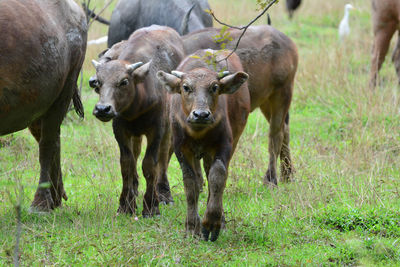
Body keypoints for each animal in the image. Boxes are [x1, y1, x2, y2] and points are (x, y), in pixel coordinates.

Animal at [0, 0, 87, 214]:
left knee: (47, 144)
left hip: (65, 88)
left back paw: (41, 202)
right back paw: (55, 196)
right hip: (37, 102)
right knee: (51, 138)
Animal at [89, 25, 184, 218]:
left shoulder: (157, 130)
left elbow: (150, 164)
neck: (137, 107)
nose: (103, 109)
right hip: (136, 134)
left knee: (164, 155)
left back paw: (164, 193)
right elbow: (127, 164)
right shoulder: (121, 130)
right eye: (99, 83)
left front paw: (151, 206)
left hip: (168, 127)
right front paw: (126, 205)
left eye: (124, 81)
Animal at [183, 26, 298, 187]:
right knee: (285, 130)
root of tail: (286, 41)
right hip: (266, 101)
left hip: (283, 93)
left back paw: (271, 179)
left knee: (276, 135)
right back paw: (287, 174)